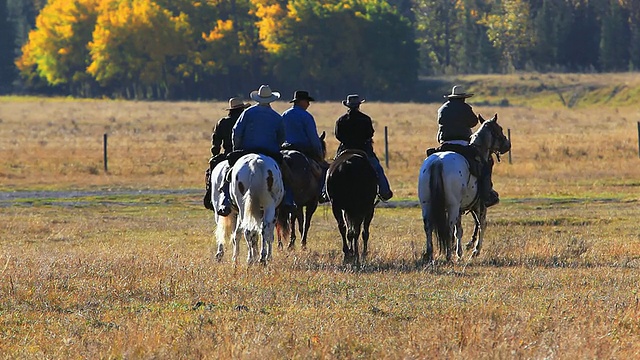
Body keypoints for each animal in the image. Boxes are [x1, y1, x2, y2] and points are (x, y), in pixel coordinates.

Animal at [418, 114, 512, 262]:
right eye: (500, 129)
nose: (508, 145)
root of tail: (438, 162)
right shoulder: (480, 205)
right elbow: (481, 224)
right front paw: (475, 251)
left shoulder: (461, 209)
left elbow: (460, 230)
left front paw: (460, 252)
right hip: (453, 205)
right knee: (449, 228)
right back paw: (448, 255)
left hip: (427, 204)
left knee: (428, 226)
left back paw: (430, 254)